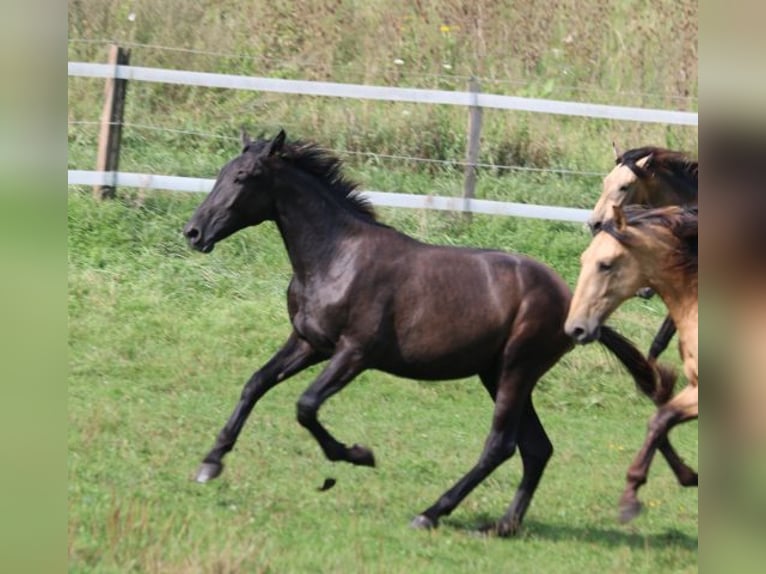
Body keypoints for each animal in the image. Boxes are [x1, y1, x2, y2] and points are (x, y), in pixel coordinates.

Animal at [182, 129, 672, 536]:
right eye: (222, 171)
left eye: (243, 176)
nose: (193, 232)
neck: (336, 257)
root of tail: (572, 303)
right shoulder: (308, 343)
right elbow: (255, 383)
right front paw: (210, 463)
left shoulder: (353, 353)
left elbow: (305, 406)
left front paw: (359, 454)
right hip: (498, 374)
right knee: (536, 448)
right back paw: (503, 526)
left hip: (516, 370)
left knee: (501, 445)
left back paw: (432, 512)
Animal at [568, 207, 700, 528]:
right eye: (584, 260)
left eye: (605, 264)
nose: (576, 328)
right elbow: (659, 418)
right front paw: (688, 476)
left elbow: (661, 418)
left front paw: (629, 499)